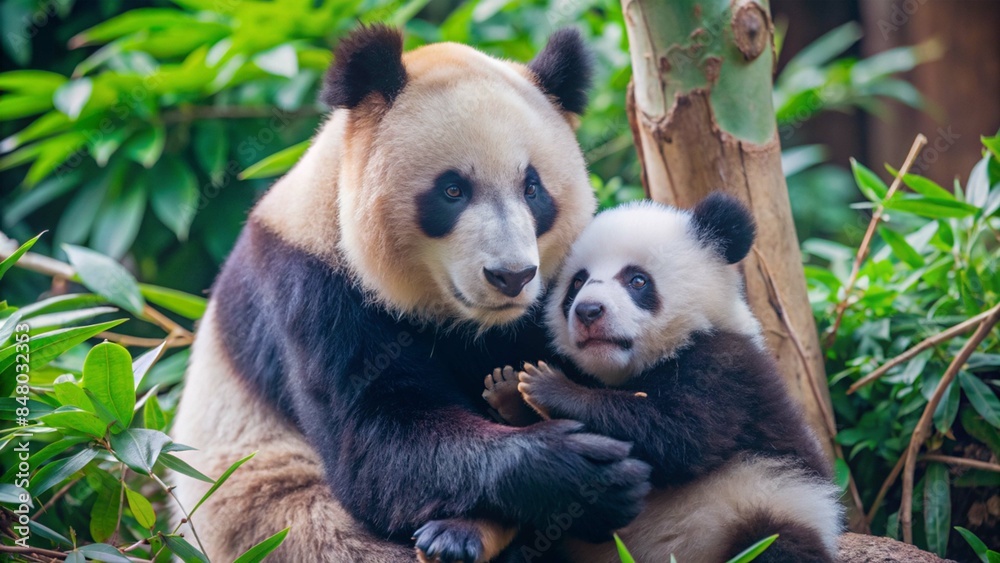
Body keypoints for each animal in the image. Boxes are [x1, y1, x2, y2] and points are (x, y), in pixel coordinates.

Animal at [169, 25, 652, 563]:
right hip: (274, 512)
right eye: (452, 191)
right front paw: (576, 472)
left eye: (533, 189)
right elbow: (375, 442)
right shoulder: (313, 287)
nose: (512, 277)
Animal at [456, 194, 843, 562]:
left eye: (637, 280)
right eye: (577, 282)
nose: (588, 311)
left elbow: (678, 434)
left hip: (766, 505)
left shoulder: (726, 367)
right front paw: (508, 390)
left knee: (778, 545)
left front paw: (547, 387)